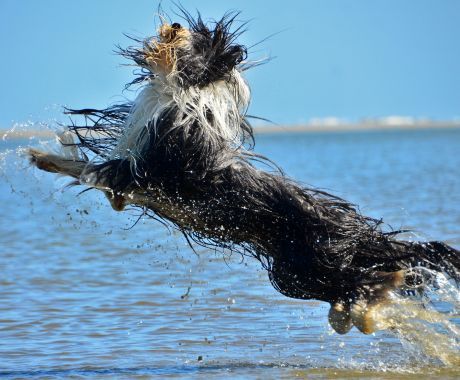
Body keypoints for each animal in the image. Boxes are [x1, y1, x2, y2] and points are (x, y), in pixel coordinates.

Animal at [27, 8, 458, 336]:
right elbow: (84, 170)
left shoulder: (150, 170)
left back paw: (376, 298)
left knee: (375, 280)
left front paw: (49, 157)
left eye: (198, 44)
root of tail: (347, 225)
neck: (180, 95)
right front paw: (40, 157)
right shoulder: (134, 178)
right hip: (299, 272)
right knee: (355, 285)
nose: (177, 25)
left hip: (306, 264)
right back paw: (354, 311)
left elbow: (95, 171)